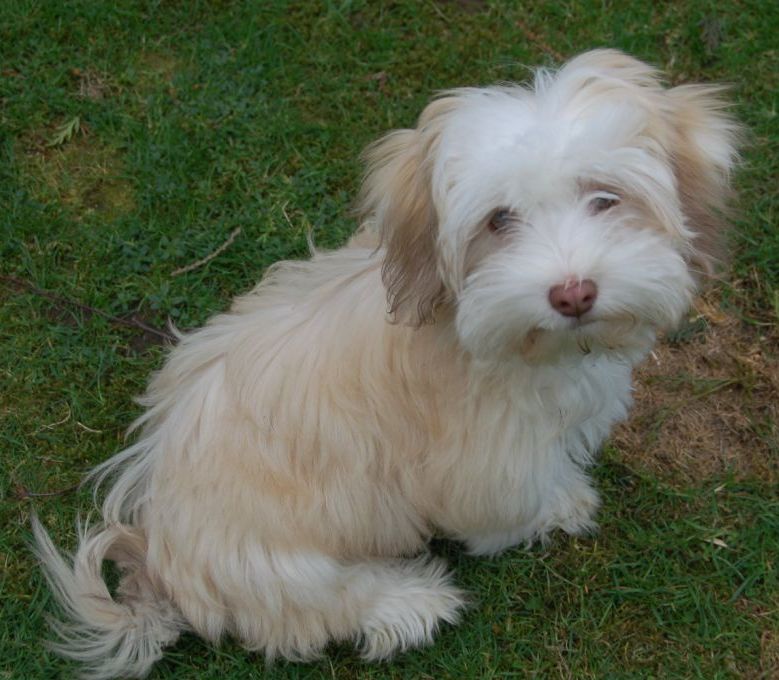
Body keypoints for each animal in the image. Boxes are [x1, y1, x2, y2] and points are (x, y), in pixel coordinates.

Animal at [33, 50, 740, 676]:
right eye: (499, 221)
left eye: (605, 197)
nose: (573, 293)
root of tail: (158, 552)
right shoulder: (488, 458)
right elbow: (512, 501)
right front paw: (560, 505)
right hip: (283, 567)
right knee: (313, 613)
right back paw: (409, 602)